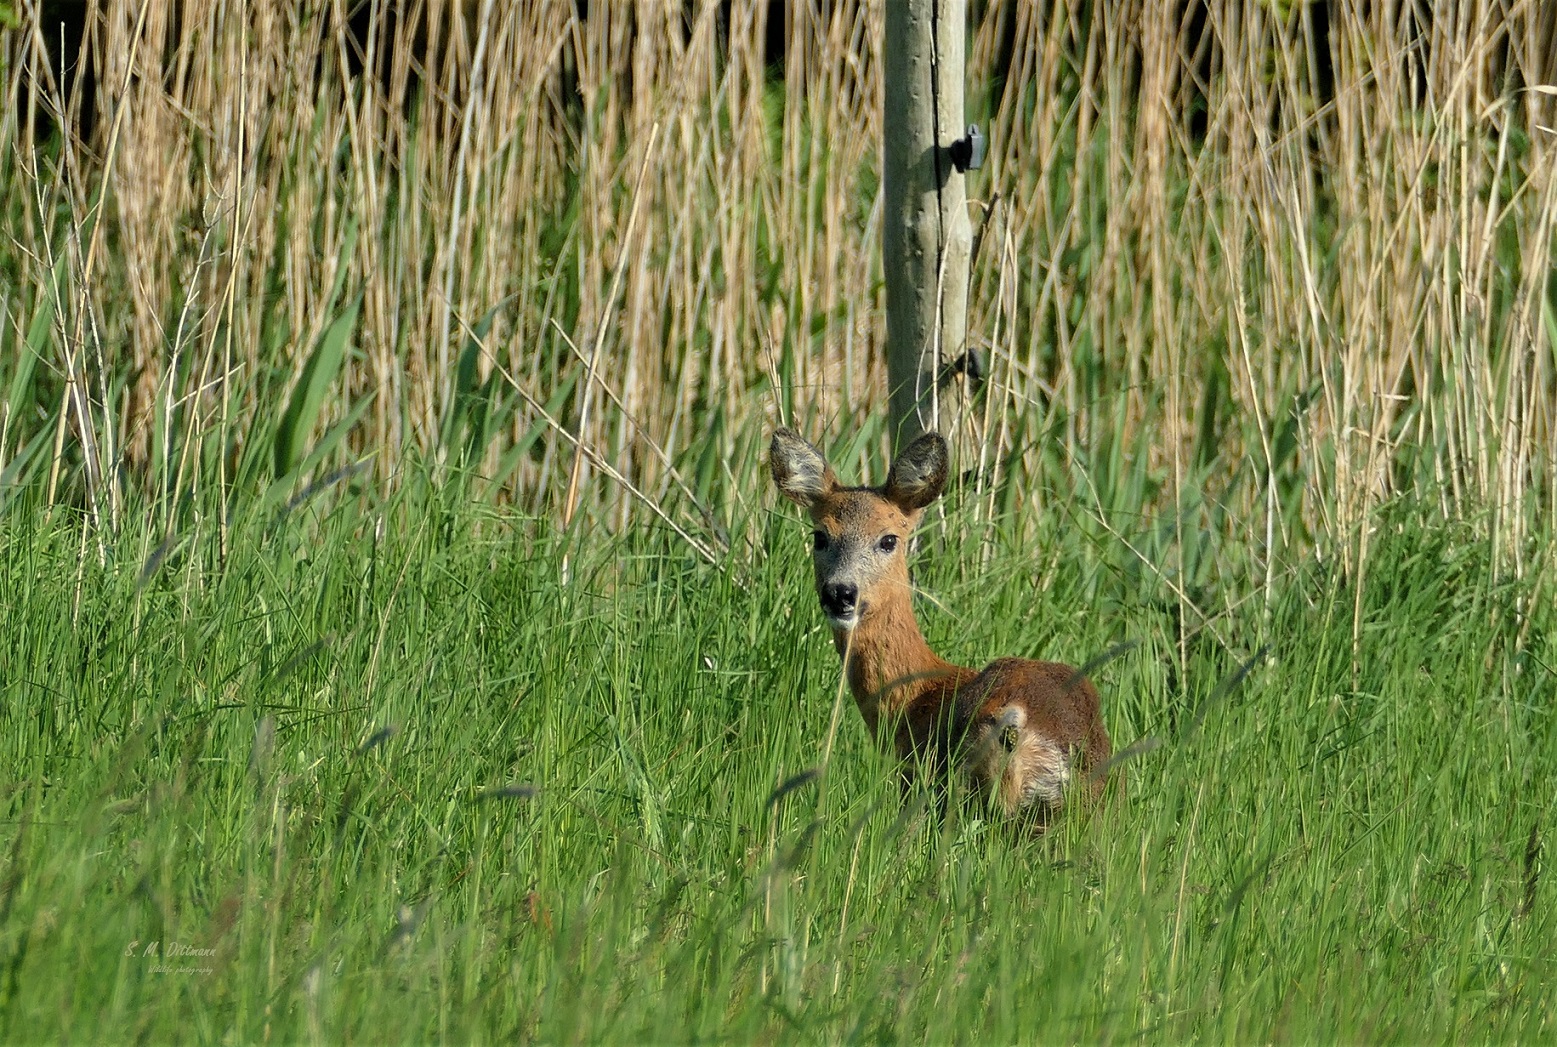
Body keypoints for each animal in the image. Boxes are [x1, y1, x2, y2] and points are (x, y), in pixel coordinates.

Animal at [766, 430, 1108, 822]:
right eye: (820, 536)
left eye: (888, 539)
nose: (840, 593)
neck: (919, 695)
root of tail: (1016, 723)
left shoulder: (912, 776)